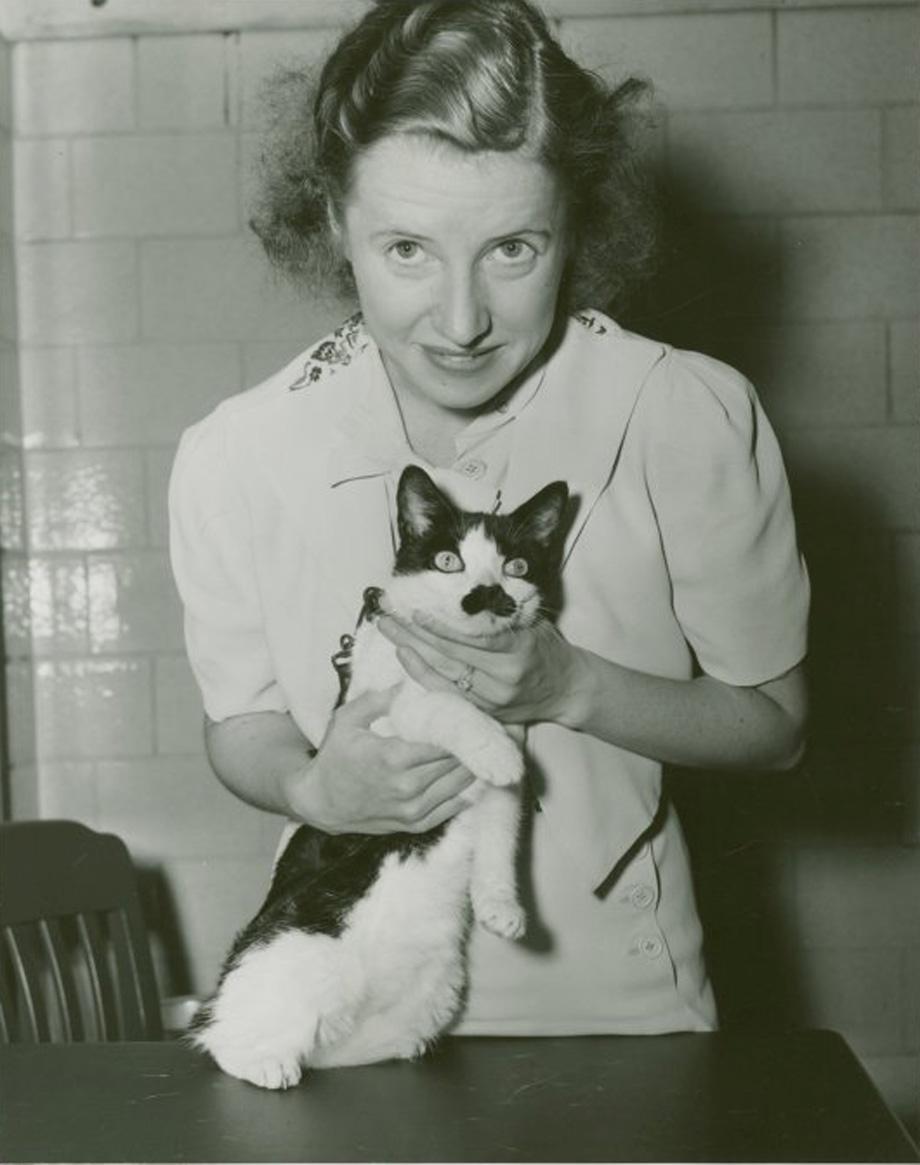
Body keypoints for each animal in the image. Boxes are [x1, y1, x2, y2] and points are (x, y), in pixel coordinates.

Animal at [189, 466, 568, 1090]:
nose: (488, 596)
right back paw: (263, 1062)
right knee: (220, 1032)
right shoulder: (384, 719)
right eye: (448, 561)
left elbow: (499, 840)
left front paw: (502, 909)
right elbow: (435, 704)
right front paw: (491, 749)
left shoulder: (497, 797)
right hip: (290, 949)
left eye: (516, 566)